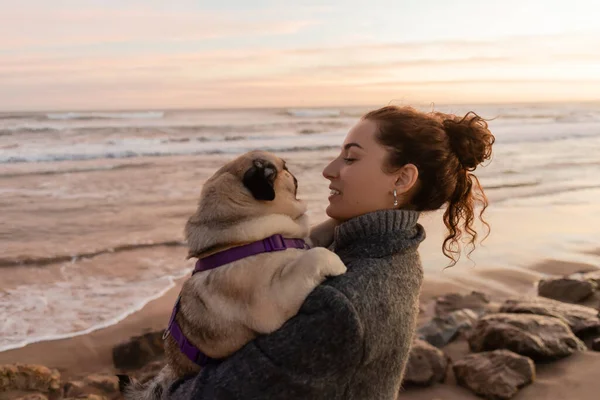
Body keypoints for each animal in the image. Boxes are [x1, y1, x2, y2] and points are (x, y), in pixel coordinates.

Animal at [119, 150, 344, 400]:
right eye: (284, 168)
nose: (292, 172)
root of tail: (173, 369)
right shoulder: (272, 297)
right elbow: (312, 257)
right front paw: (335, 261)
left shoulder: (305, 238)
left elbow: (320, 230)